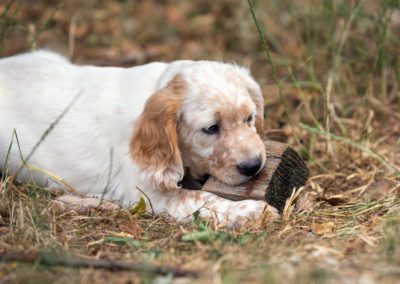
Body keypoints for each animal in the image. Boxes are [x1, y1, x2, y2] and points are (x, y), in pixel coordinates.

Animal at [0, 51, 278, 227]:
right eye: (212, 128)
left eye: (250, 118)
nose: (253, 166)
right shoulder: (152, 194)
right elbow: (204, 198)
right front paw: (253, 211)